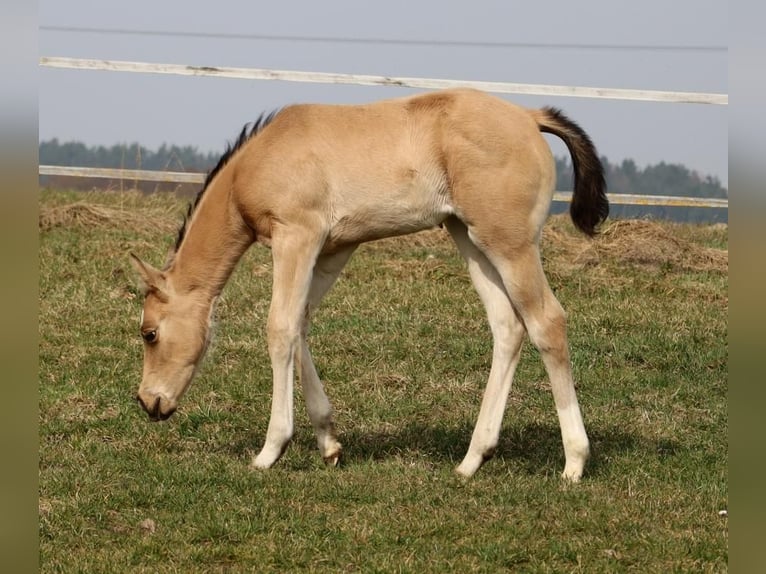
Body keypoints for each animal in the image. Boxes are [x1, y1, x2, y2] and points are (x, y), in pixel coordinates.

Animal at [130, 88, 608, 481]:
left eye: (149, 333)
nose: (148, 403)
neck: (257, 162)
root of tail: (529, 116)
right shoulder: (334, 248)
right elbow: (300, 323)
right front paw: (329, 444)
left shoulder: (296, 236)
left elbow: (280, 328)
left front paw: (270, 450)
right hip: (469, 238)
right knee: (508, 327)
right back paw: (472, 459)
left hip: (510, 244)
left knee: (547, 322)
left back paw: (574, 462)